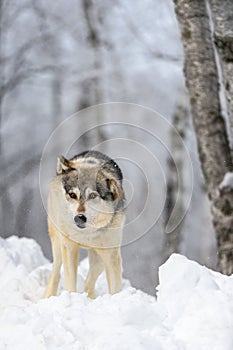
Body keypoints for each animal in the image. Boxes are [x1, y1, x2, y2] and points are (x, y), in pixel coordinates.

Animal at [44, 150, 126, 298]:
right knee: (56, 271)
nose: (79, 218)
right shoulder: (69, 247)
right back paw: (48, 296)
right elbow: (70, 283)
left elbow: (115, 288)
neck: (86, 234)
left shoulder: (111, 255)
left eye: (93, 196)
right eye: (72, 195)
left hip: (99, 258)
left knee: (89, 280)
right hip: (58, 244)